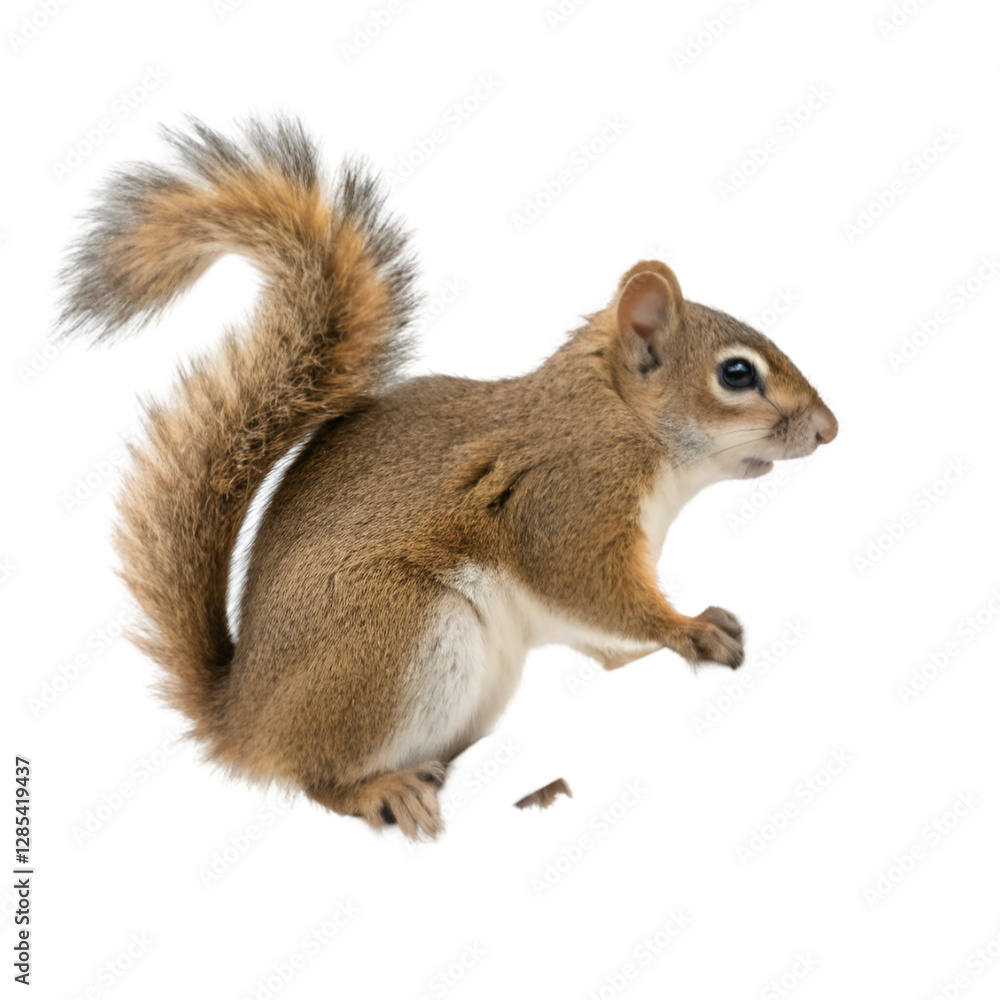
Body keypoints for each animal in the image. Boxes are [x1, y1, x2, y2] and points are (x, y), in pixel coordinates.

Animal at [58, 116, 837, 840]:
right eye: (736, 374)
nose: (829, 430)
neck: (624, 422)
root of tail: (243, 719)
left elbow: (603, 637)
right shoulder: (568, 504)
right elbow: (599, 595)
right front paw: (690, 628)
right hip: (395, 639)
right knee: (319, 777)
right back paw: (384, 791)